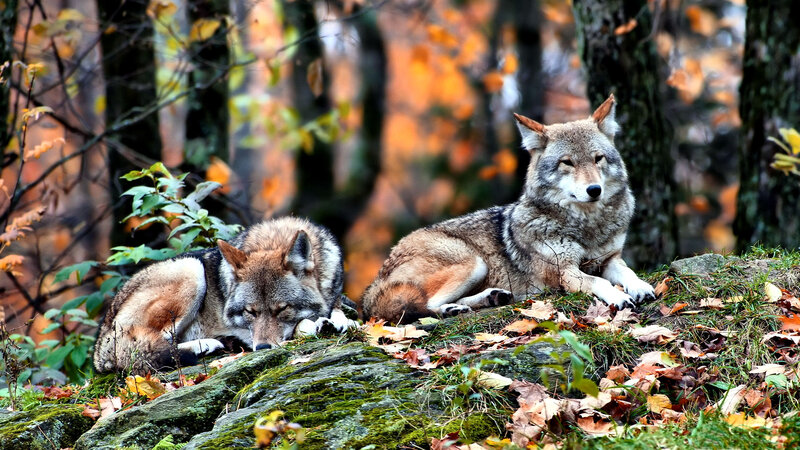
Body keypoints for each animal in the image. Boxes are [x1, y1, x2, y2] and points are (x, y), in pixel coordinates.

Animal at [94, 216, 355, 373]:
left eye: (282, 309)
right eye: (250, 312)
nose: (262, 348)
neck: (273, 240)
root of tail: (101, 343)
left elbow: (338, 310)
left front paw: (339, 320)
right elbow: (302, 325)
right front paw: (316, 324)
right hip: (191, 271)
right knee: (146, 349)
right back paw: (206, 345)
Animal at [361, 94, 656, 323]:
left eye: (598, 159)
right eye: (567, 162)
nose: (594, 190)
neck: (587, 227)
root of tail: (374, 283)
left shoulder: (610, 259)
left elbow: (627, 272)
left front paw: (641, 287)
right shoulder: (564, 272)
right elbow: (600, 282)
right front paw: (619, 296)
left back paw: (490, 297)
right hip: (472, 262)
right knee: (425, 306)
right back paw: (452, 309)